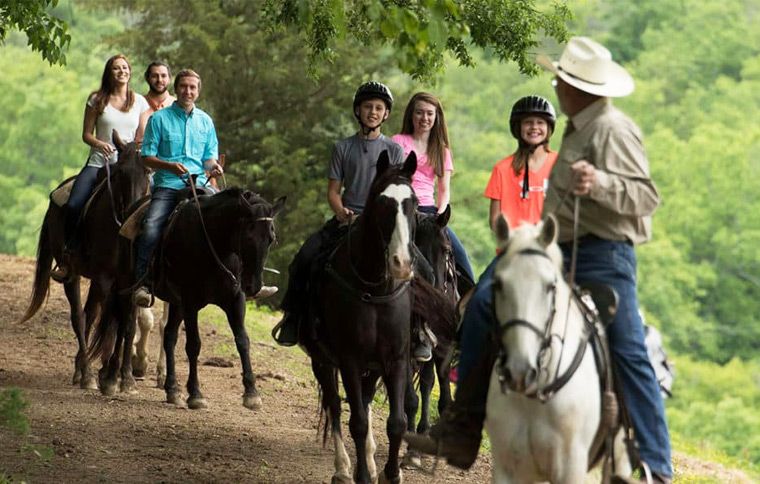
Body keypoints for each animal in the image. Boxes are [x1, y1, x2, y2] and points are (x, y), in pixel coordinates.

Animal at [19, 131, 150, 390]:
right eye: (121, 172)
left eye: (149, 171)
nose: (134, 212)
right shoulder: (105, 279)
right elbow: (107, 321)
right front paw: (108, 376)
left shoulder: (128, 283)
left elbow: (126, 324)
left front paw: (125, 377)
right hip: (74, 275)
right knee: (80, 317)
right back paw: (86, 374)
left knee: (93, 316)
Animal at [90, 186, 284, 408]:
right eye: (249, 236)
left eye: (271, 239)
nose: (253, 286)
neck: (215, 245)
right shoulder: (191, 302)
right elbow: (193, 345)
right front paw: (196, 394)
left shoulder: (235, 300)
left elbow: (243, 341)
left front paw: (252, 393)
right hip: (127, 285)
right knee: (124, 327)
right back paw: (113, 379)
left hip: (176, 302)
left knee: (168, 336)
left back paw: (172, 389)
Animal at [486, 216, 628, 484]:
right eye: (498, 284)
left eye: (550, 286)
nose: (520, 371)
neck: (535, 394)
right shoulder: (507, 469)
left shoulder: (570, 470)